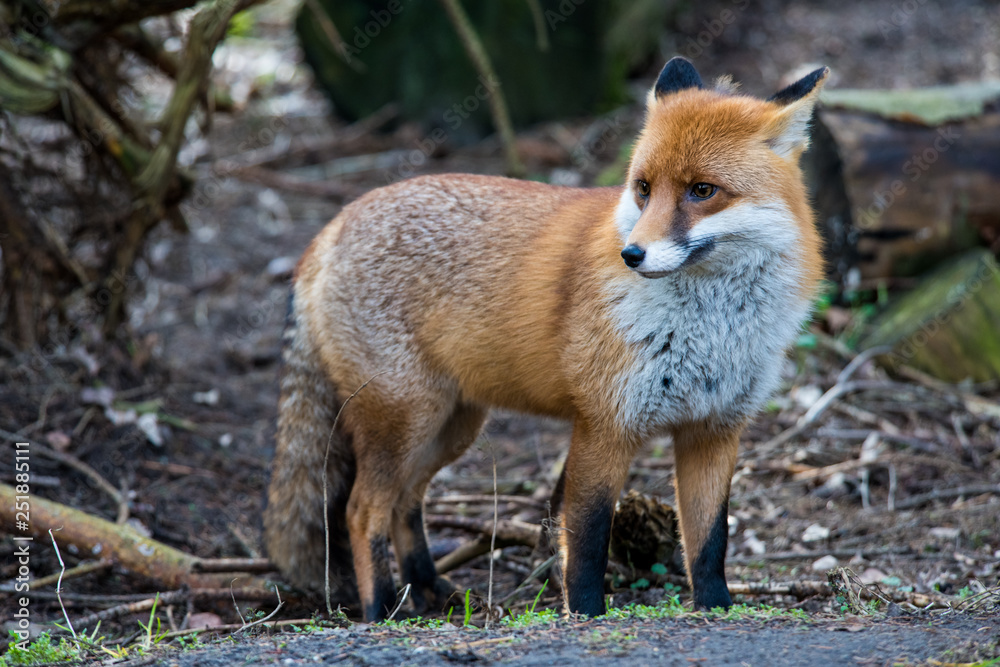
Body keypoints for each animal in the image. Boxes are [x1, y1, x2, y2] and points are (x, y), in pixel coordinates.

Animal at [264, 57, 828, 620]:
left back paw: (429, 592)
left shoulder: (714, 429)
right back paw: (382, 608)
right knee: (361, 512)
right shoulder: (605, 423)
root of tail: (333, 223)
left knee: (404, 504)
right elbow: (586, 537)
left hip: (449, 426)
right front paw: (586, 614)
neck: (712, 329)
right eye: (643, 188)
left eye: (702, 191)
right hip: (405, 418)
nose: (632, 254)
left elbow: (710, 541)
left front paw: (716, 610)